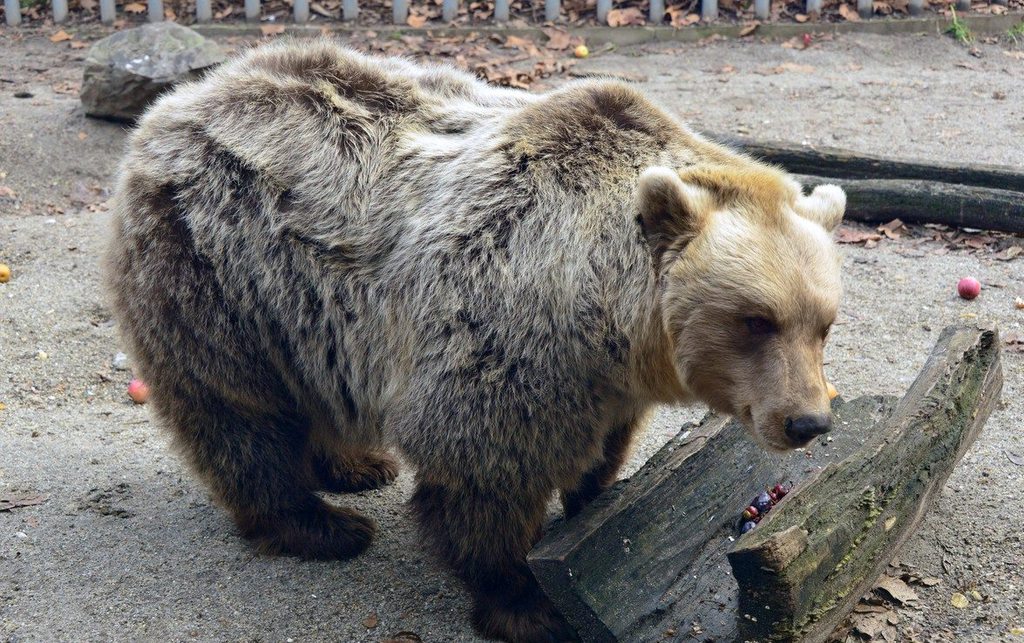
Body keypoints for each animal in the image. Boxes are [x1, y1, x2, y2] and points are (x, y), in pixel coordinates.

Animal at [105, 40, 847, 643]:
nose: (807, 420)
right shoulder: (508, 334)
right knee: (237, 409)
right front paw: (527, 603)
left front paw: (593, 505)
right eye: (755, 320)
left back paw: (353, 464)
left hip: (300, 309)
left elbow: (601, 448)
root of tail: (178, 103)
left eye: (823, 321)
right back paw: (319, 523)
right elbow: (485, 472)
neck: (608, 313)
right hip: (221, 269)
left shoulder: (602, 378)